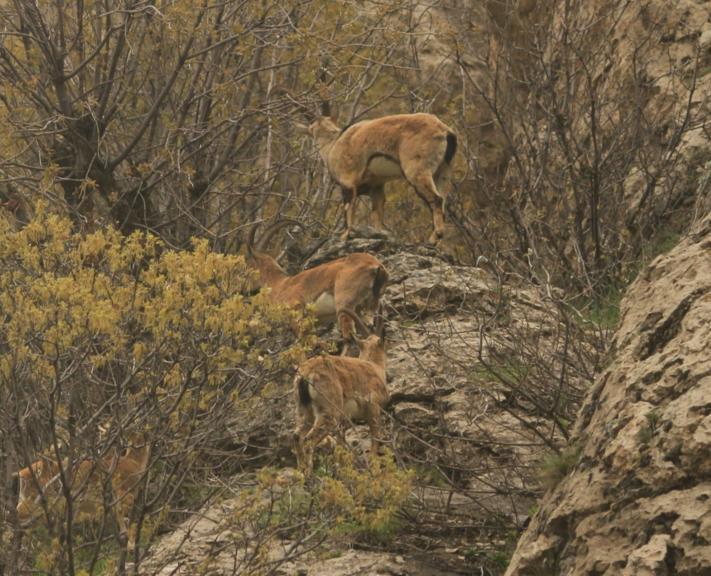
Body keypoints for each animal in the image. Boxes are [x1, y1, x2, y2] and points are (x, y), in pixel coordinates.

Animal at [246, 219, 390, 352]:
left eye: (249, 267)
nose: (245, 290)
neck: (280, 285)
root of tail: (376, 267)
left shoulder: (296, 310)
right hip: (368, 306)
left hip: (344, 304)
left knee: (349, 336)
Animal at [294, 308, 390, 474]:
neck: (375, 367)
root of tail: (306, 374)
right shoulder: (373, 407)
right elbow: (375, 438)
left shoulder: (345, 420)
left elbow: (340, 443)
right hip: (329, 411)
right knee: (308, 441)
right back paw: (309, 475)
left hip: (305, 411)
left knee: (297, 437)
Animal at [298, 109, 458, 244]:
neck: (333, 145)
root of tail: (445, 131)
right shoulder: (376, 187)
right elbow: (377, 216)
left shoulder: (347, 183)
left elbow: (348, 210)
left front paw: (345, 236)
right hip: (443, 171)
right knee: (442, 200)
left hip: (418, 171)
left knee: (436, 199)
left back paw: (434, 238)